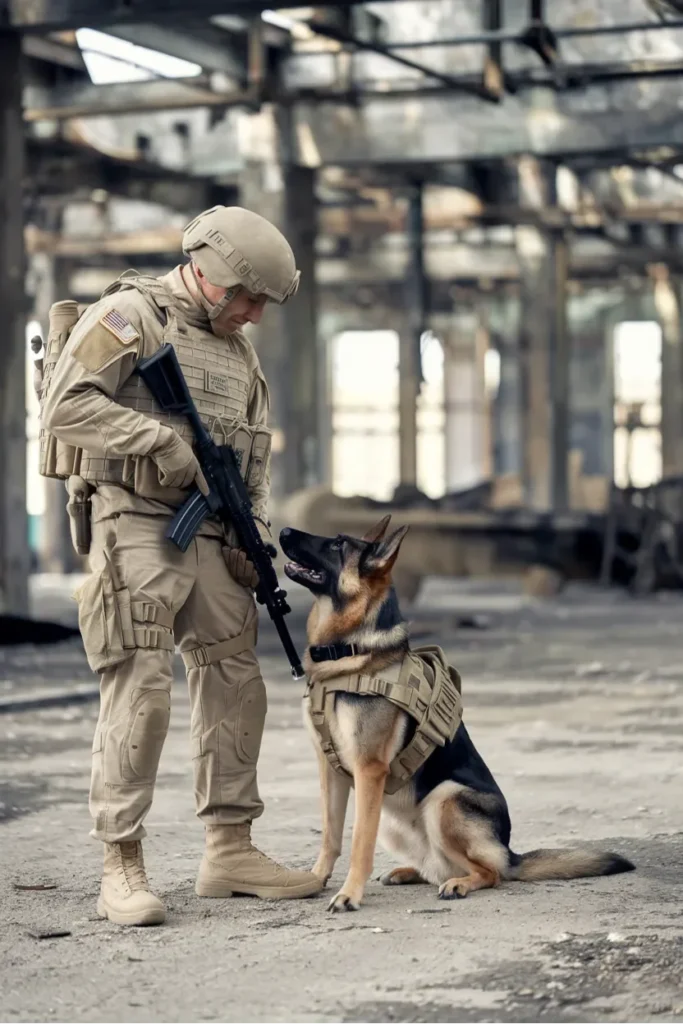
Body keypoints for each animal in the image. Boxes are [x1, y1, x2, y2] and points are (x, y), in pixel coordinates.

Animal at [278, 520, 634, 913]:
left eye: (338, 545)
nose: (282, 531)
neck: (349, 652)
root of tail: (510, 854)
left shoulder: (369, 771)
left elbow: (359, 844)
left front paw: (349, 894)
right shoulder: (330, 770)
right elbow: (330, 835)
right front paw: (315, 879)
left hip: (444, 799)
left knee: (490, 873)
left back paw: (461, 884)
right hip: (393, 820)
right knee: (439, 866)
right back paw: (410, 872)